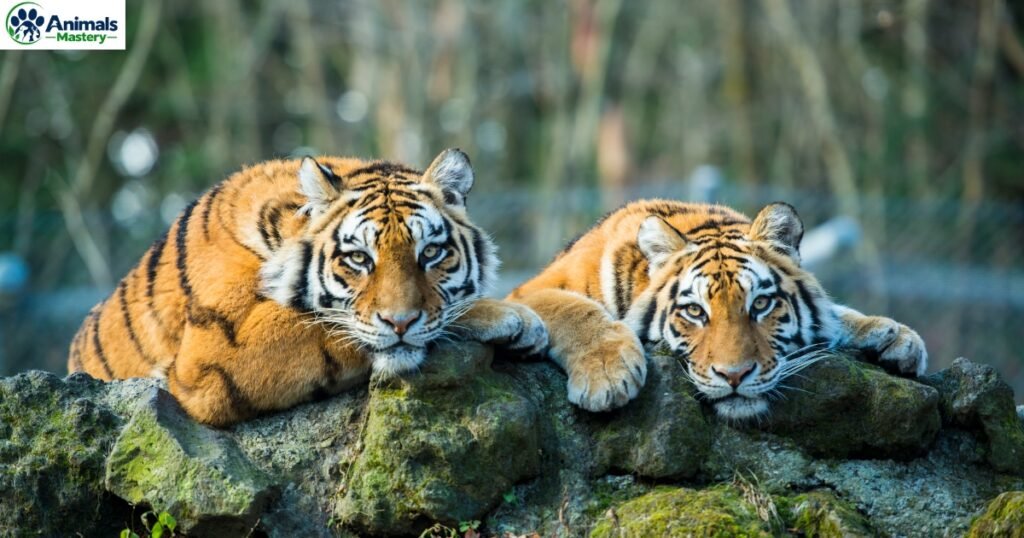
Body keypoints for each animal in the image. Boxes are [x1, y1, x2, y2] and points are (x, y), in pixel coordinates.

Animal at [68, 148, 548, 426]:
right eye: (359, 258)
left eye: (430, 252)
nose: (400, 323)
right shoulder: (212, 356)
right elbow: (326, 325)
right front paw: (510, 316)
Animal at [508, 200, 927, 420]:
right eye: (695, 312)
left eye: (760, 304)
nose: (734, 376)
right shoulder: (527, 292)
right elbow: (574, 309)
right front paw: (607, 376)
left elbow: (836, 314)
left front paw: (895, 336)